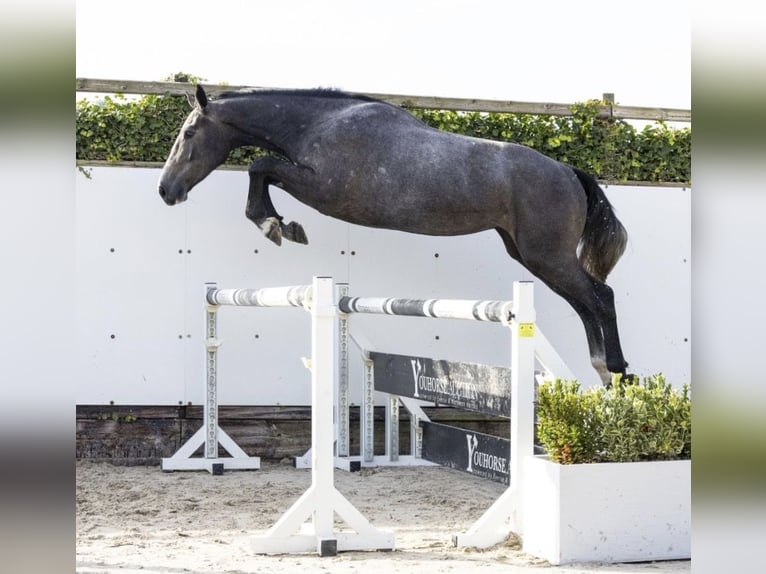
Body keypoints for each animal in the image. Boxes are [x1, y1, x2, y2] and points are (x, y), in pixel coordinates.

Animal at [158, 84, 632, 386]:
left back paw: (618, 370)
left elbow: (261, 167)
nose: (166, 190)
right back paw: (603, 371)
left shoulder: (323, 190)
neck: (320, 124)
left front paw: (277, 226)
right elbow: (264, 169)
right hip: (531, 256)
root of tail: (568, 171)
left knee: (600, 297)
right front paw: (279, 224)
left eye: (188, 133)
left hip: (546, 256)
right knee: (585, 303)